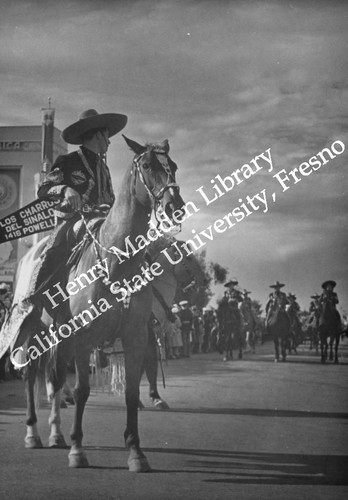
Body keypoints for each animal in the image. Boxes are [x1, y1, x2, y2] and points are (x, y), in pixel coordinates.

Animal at [17, 135, 185, 470]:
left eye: (172, 166)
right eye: (148, 166)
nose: (175, 206)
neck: (114, 259)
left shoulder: (135, 336)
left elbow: (132, 391)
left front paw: (135, 452)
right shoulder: (84, 338)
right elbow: (82, 390)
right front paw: (77, 449)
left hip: (59, 337)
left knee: (54, 377)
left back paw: (55, 433)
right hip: (35, 331)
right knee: (33, 377)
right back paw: (34, 434)